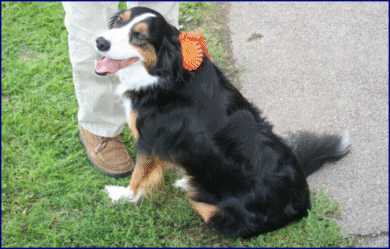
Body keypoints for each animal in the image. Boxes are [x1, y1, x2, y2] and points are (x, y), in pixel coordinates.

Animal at [92, 6, 350, 238]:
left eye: (141, 36)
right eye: (119, 22)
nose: (100, 42)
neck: (164, 75)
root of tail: (301, 202)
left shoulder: (148, 140)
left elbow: (138, 176)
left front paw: (122, 196)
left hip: (213, 210)